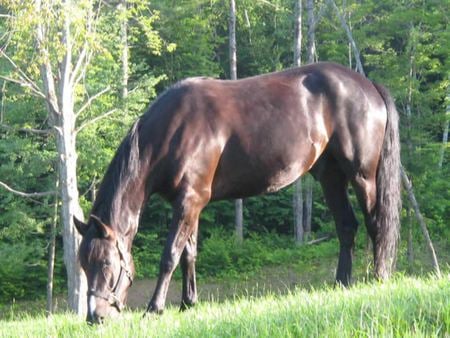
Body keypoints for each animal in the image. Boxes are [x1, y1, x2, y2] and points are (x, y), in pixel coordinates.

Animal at [73, 62, 400, 324]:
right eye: (83, 265)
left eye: (106, 263)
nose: (95, 317)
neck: (173, 130)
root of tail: (368, 86)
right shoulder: (191, 204)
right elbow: (189, 253)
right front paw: (188, 303)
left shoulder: (189, 201)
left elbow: (171, 255)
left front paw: (155, 308)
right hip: (330, 177)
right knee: (346, 226)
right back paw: (341, 283)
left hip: (362, 176)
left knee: (376, 224)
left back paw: (379, 277)